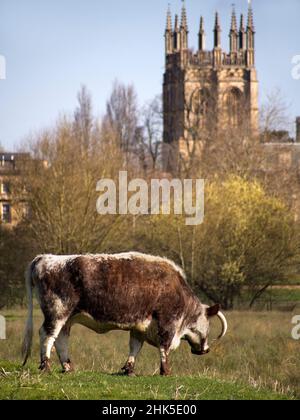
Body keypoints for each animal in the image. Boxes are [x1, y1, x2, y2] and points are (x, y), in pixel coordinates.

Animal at [21, 251, 227, 376]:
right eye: (207, 324)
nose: (206, 349)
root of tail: (45, 257)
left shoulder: (140, 326)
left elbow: (134, 348)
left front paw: (129, 369)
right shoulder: (167, 324)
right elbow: (164, 348)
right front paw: (166, 371)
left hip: (68, 318)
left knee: (61, 340)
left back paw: (68, 367)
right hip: (57, 313)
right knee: (47, 335)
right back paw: (45, 366)